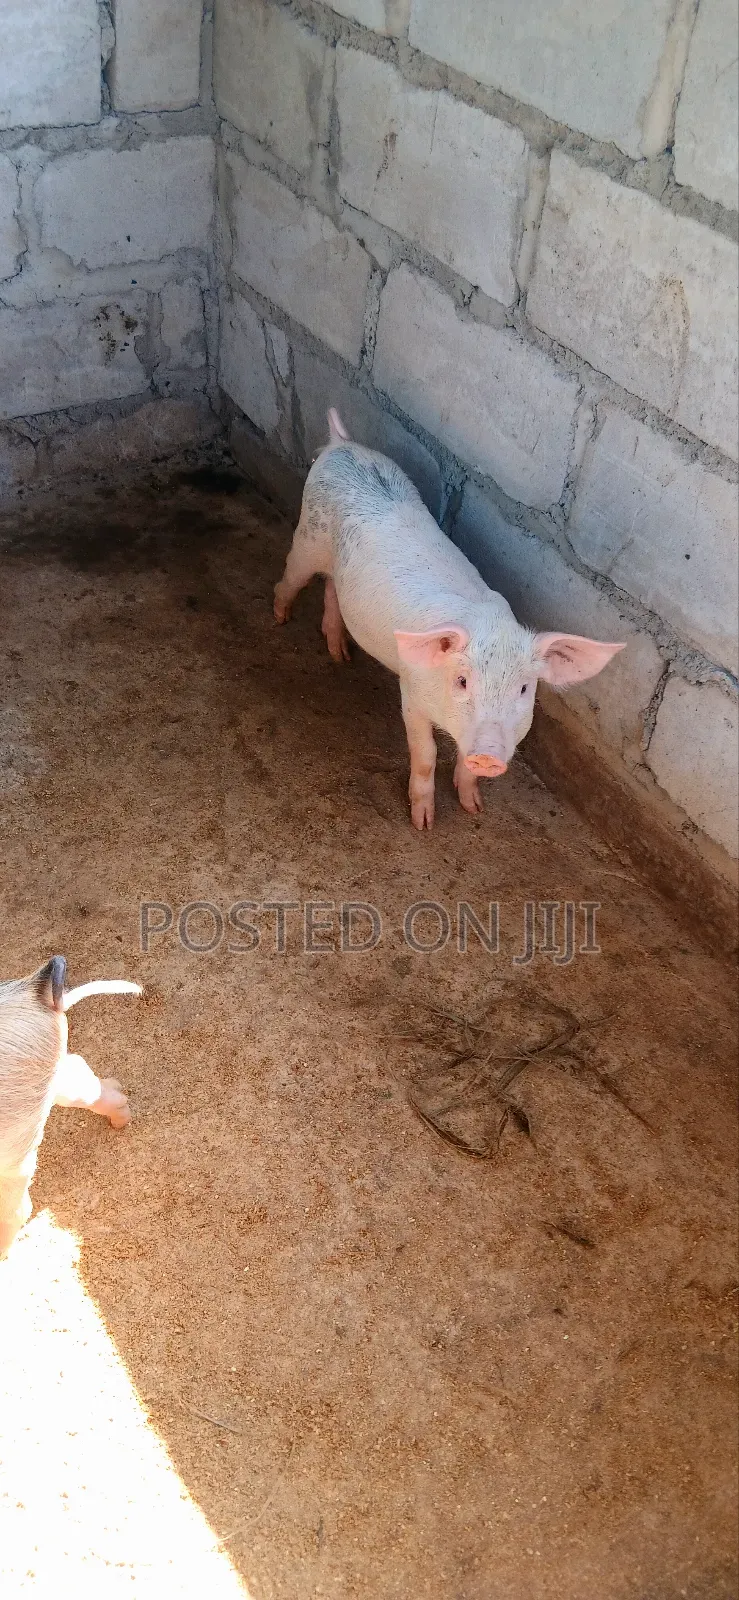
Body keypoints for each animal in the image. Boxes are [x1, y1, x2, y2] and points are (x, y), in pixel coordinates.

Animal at [275, 410, 625, 830]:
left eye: (524, 689)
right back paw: (279, 617)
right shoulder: (411, 693)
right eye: (462, 680)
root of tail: (341, 445)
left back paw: (340, 655)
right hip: (308, 537)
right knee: (292, 575)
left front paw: (474, 807)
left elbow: (463, 765)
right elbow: (426, 753)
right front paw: (423, 824)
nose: (488, 754)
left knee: (331, 589)